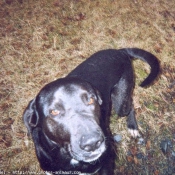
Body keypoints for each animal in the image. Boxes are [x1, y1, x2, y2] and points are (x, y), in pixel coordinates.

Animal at [23, 47, 160, 175]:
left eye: (91, 100)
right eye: (54, 112)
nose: (93, 143)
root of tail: (119, 51)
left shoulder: (106, 165)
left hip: (121, 102)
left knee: (130, 104)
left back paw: (132, 127)